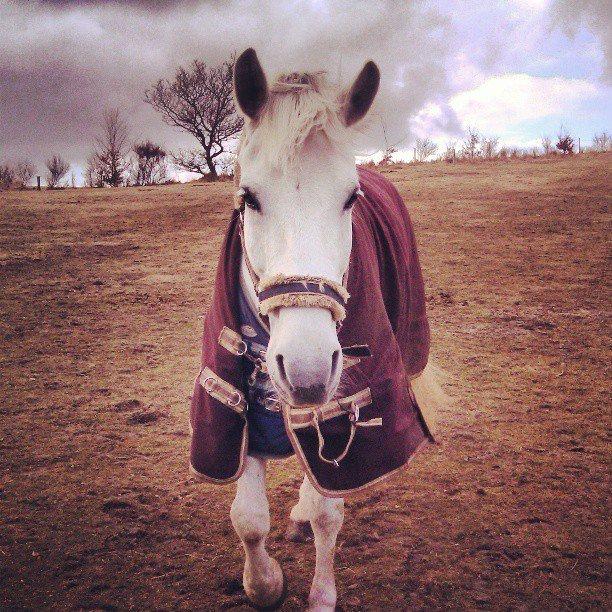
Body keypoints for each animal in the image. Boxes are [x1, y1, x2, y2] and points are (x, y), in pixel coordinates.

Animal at [189, 47, 442, 612]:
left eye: (349, 198)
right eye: (249, 197)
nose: (306, 370)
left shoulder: (344, 413)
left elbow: (330, 512)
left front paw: (320, 593)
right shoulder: (238, 407)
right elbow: (248, 519)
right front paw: (263, 585)